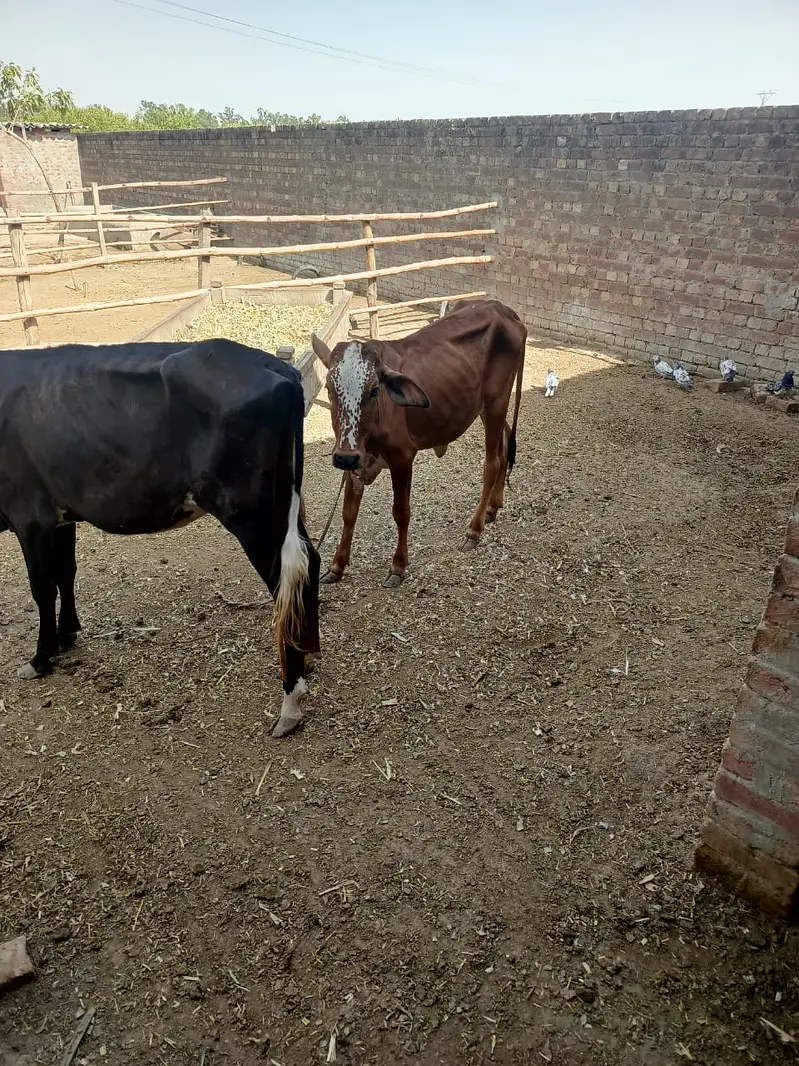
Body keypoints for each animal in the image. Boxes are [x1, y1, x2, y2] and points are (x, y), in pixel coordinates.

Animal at [0, 338, 320, 739]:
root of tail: (275, 366)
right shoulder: (61, 515)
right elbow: (65, 574)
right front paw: (67, 635)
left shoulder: (29, 515)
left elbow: (43, 588)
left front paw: (41, 658)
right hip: (283, 504)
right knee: (309, 563)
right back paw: (308, 654)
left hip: (252, 513)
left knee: (285, 581)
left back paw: (290, 700)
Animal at [311, 298, 527, 587]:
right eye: (330, 390)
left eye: (374, 390)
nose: (344, 457)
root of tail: (503, 309)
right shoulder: (356, 459)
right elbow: (348, 512)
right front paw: (337, 565)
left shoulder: (402, 457)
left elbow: (401, 512)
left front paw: (398, 566)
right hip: (484, 407)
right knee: (504, 448)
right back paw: (493, 508)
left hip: (497, 401)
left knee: (492, 462)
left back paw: (474, 530)